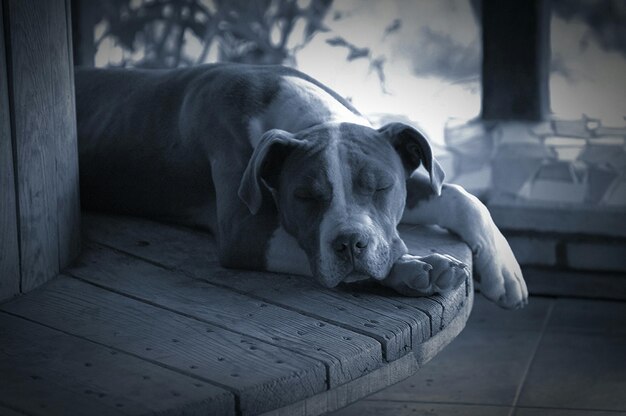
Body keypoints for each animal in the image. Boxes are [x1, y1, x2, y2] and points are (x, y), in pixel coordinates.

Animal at [75, 64, 528, 308]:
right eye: (306, 196)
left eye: (380, 188)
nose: (350, 244)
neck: (308, 118)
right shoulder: (245, 232)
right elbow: (315, 254)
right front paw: (417, 267)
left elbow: (460, 197)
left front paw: (505, 272)